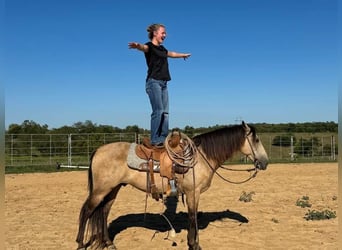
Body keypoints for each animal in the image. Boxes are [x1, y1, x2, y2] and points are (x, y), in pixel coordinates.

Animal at [76, 120, 268, 248]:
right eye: (257, 140)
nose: (265, 162)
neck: (201, 157)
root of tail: (98, 150)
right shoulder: (193, 192)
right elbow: (192, 217)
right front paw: (194, 244)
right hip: (101, 190)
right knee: (87, 211)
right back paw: (80, 243)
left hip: (113, 189)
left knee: (103, 212)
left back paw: (109, 243)